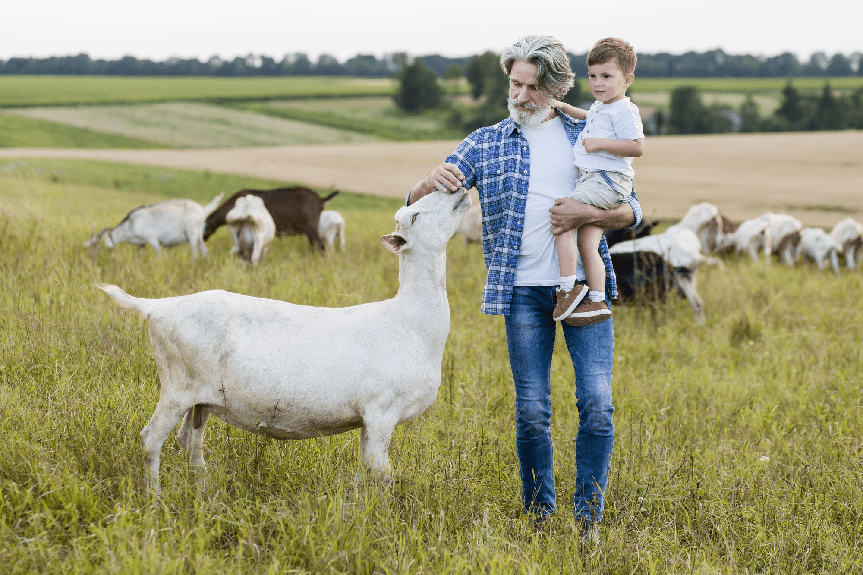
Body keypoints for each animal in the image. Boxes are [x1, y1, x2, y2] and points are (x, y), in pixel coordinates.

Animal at [85, 194, 223, 258]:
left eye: (97, 245)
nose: (91, 257)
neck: (130, 224)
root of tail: (203, 210)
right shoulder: (141, 244)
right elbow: (139, 256)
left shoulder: (152, 239)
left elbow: (159, 255)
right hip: (199, 234)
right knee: (205, 250)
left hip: (192, 233)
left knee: (195, 253)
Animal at [203, 188, 338, 251]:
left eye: (203, 226)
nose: (203, 238)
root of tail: (321, 200)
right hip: (309, 230)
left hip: (311, 226)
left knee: (321, 246)